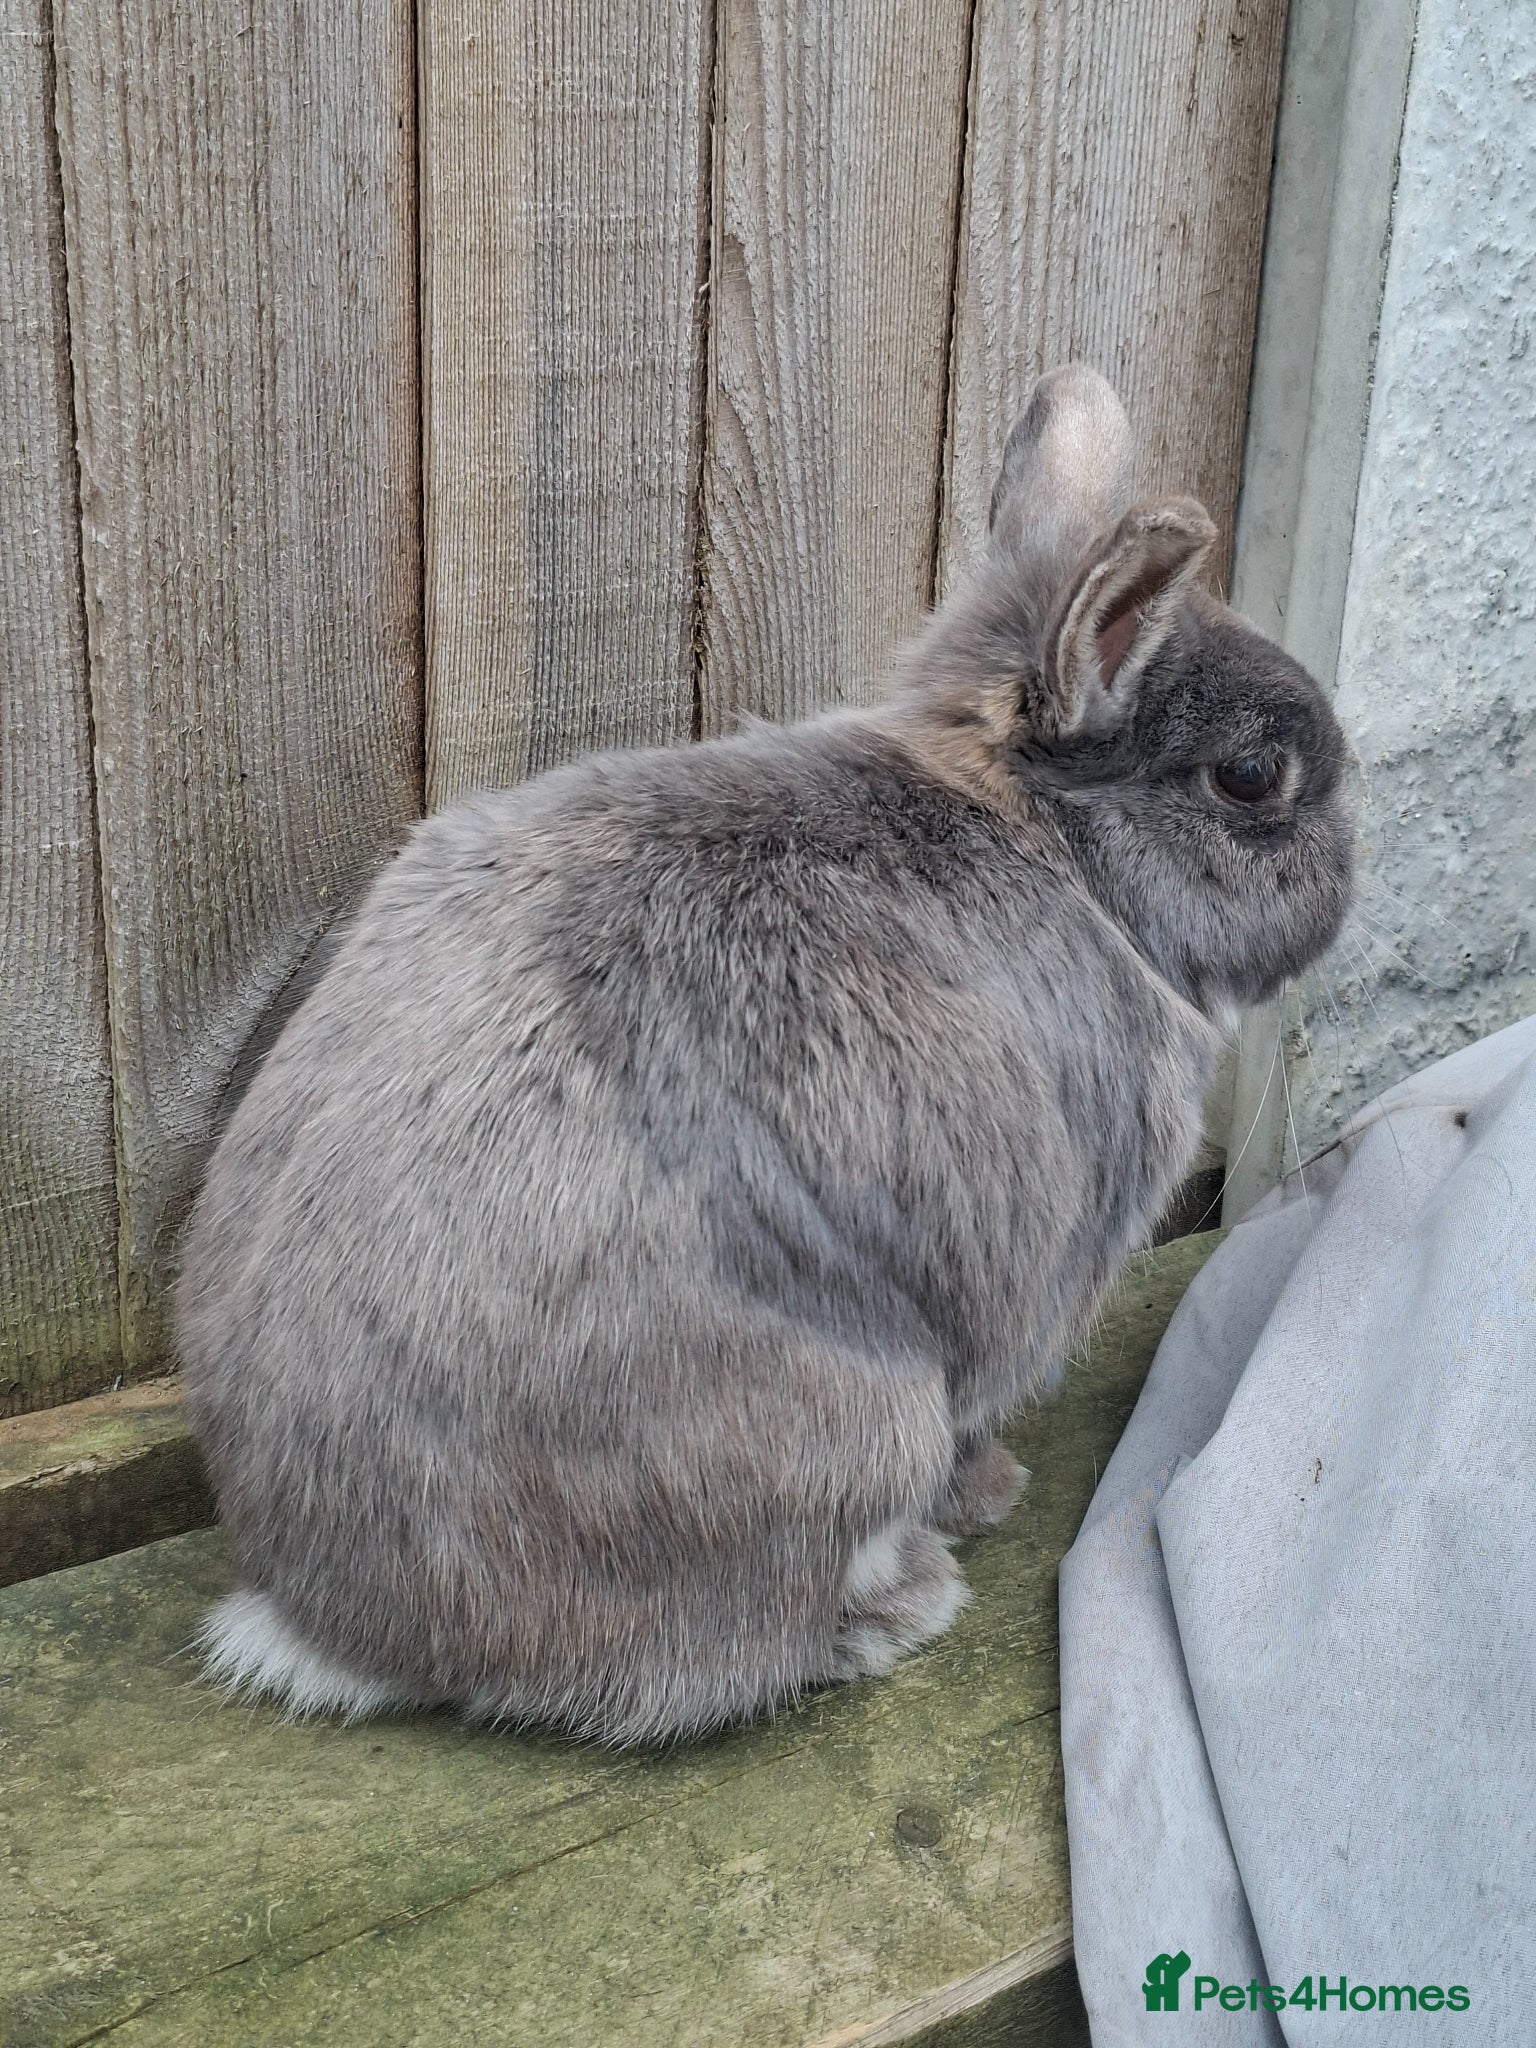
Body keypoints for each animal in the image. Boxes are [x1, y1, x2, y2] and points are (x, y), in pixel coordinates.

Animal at [177, 364, 1354, 1745]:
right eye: (1252, 776)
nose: (1351, 868)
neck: (1056, 845)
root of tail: (331, 1622)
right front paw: (997, 1490)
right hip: (859, 1426)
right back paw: (901, 1602)